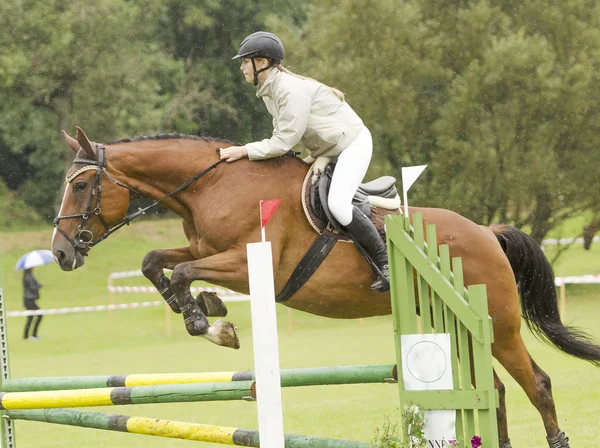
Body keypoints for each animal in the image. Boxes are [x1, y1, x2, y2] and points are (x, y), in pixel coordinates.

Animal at [52, 126, 600, 448]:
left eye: (79, 186)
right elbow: (155, 263)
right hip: (455, 326)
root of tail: (488, 231)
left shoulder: (252, 266)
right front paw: (206, 314)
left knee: (536, 384)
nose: (60, 253)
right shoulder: (202, 248)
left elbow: (186, 273)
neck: (211, 187)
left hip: (499, 326)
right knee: (497, 390)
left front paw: (210, 320)